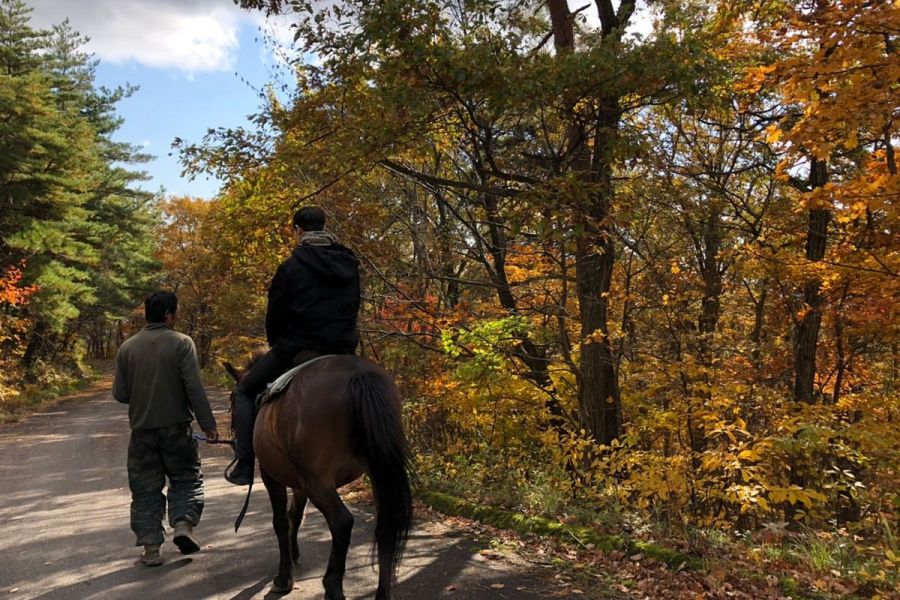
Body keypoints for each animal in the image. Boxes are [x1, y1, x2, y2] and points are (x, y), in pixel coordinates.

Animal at [223, 354, 414, 600]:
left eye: (232, 399)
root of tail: (359, 375)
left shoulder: (272, 476)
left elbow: (281, 521)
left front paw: (284, 578)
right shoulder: (299, 484)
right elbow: (295, 515)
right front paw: (293, 554)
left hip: (318, 481)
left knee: (341, 522)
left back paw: (332, 586)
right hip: (376, 472)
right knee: (386, 526)